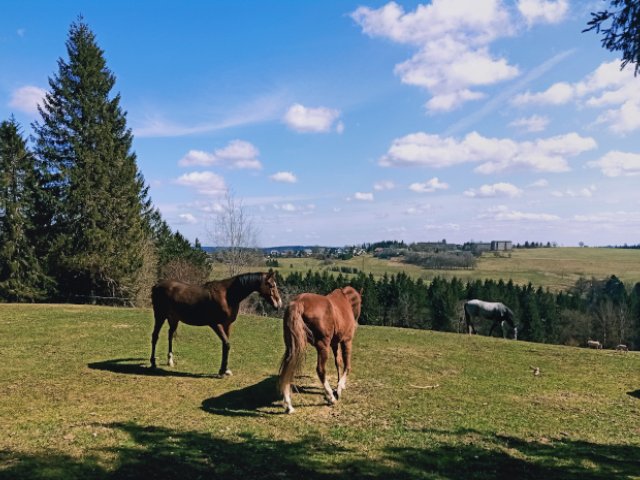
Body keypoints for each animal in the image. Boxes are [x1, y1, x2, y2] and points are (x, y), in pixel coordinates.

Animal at [151, 270, 282, 376]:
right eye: (271, 285)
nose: (279, 304)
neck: (227, 295)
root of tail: (157, 285)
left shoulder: (227, 325)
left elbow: (226, 345)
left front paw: (225, 370)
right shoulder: (216, 324)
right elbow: (227, 344)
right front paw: (222, 371)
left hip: (174, 319)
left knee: (170, 335)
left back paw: (170, 361)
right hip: (160, 316)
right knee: (155, 336)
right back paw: (153, 363)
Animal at [278, 284, 362, 412]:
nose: (356, 324)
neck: (345, 300)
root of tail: (299, 302)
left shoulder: (334, 344)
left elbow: (338, 362)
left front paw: (339, 384)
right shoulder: (346, 341)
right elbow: (347, 366)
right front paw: (340, 388)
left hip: (292, 346)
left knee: (288, 367)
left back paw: (288, 404)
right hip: (323, 346)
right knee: (320, 370)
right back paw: (331, 398)